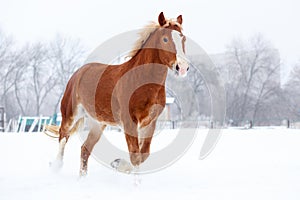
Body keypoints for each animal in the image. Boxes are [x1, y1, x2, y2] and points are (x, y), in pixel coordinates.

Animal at [48, 11, 189, 176]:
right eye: (165, 39)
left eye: (183, 38)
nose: (182, 67)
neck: (141, 81)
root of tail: (77, 74)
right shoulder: (129, 122)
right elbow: (135, 156)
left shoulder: (150, 123)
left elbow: (144, 154)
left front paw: (118, 164)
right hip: (70, 114)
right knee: (63, 136)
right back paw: (56, 167)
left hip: (98, 123)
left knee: (85, 149)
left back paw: (82, 177)